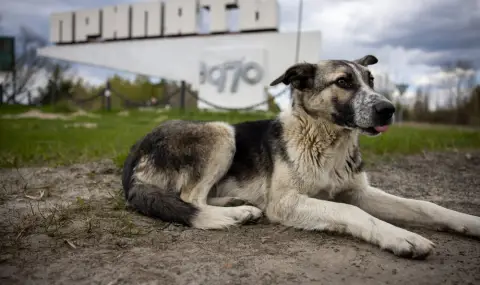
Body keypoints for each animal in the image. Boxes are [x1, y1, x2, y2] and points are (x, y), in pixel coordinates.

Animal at [121, 55, 480, 258]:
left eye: (371, 80)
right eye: (343, 82)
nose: (388, 109)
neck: (328, 142)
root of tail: (134, 151)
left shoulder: (358, 191)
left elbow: (425, 205)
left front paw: (470, 222)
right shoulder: (287, 202)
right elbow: (351, 212)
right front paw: (401, 236)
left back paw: (238, 204)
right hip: (222, 133)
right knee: (189, 197)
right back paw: (235, 214)